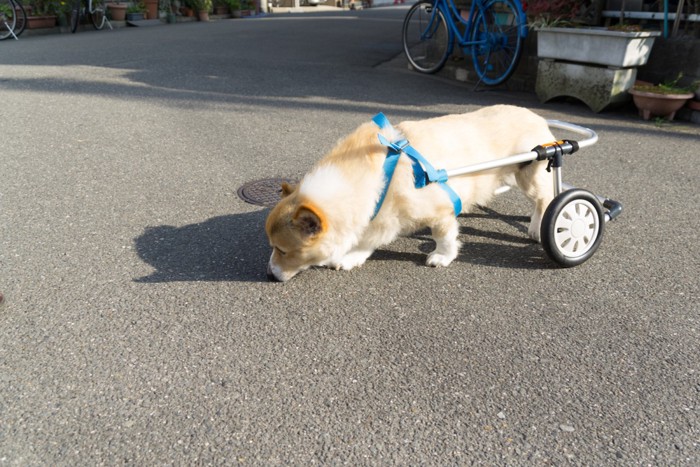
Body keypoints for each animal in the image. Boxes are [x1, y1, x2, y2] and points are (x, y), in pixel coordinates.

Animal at [266, 105, 556, 282]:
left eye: (282, 250)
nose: (269, 275)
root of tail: (539, 118)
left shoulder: (440, 213)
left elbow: (443, 237)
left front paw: (442, 257)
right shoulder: (380, 217)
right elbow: (367, 241)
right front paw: (352, 257)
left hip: (529, 174)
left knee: (545, 199)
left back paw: (536, 228)